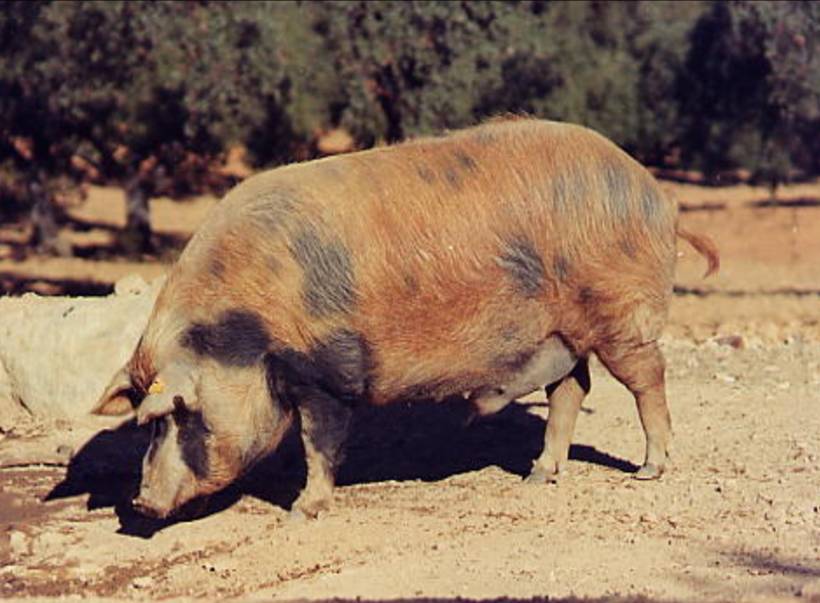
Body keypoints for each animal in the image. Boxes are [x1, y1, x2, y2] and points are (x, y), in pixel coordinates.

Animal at [93, 117, 719, 519]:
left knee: (647, 380)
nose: (140, 501)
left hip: (622, 316)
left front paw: (302, 511)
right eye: (148, 423)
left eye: (180, 414)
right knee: (572, 390)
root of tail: (658, 196)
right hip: (562, 334)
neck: (252, 329)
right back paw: (539, 474)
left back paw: (649, 470)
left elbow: (320, 443)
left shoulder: (328, 376)